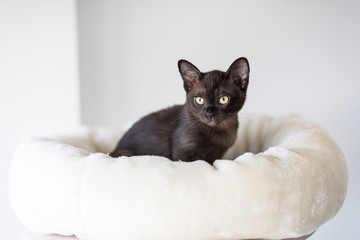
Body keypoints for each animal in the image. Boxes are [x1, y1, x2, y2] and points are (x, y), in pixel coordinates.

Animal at [110, 57, 250, 164]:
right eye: (199, 100)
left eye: (223, 99)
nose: (209, 114)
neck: (219, 132)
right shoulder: (183, 155)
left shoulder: (218, 156)